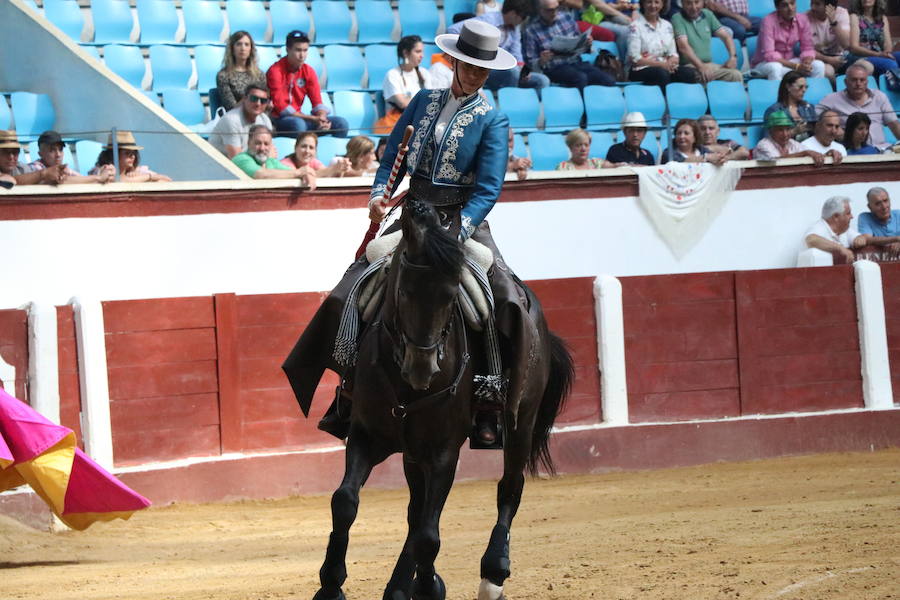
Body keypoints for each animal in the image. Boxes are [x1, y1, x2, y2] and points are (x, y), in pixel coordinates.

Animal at [312, 198, 572, 600]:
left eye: (452, 296)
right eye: (403, 291)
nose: (422, 368)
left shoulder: (442, 452)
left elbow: (428, 535)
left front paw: (429, 586)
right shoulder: (366, 436)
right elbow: (345, 502)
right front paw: (331, 585)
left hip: (521, 422)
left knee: (509, 487)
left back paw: (493, 574)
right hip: (413, 452)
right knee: (415, 511)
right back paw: (401, 586)